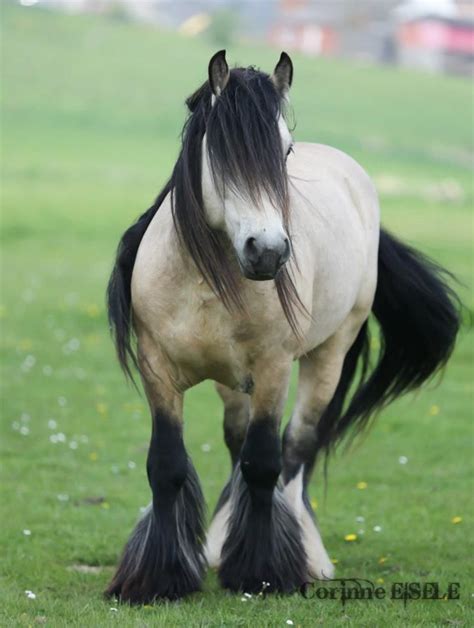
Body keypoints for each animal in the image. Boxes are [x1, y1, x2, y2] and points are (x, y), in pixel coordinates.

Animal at [103, 50, 460, 604]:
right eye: (220, 149)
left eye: (285, 150)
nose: (267, 251)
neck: (205, 279)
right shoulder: (157, 368)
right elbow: (166, 465)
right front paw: (158, 579)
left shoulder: (273, 370)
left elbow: (265, 461)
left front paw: (261, 571)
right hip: (232, 381)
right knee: (236, 440)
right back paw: (220, 542)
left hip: (328, 357)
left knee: (298, 448)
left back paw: (306, 553)